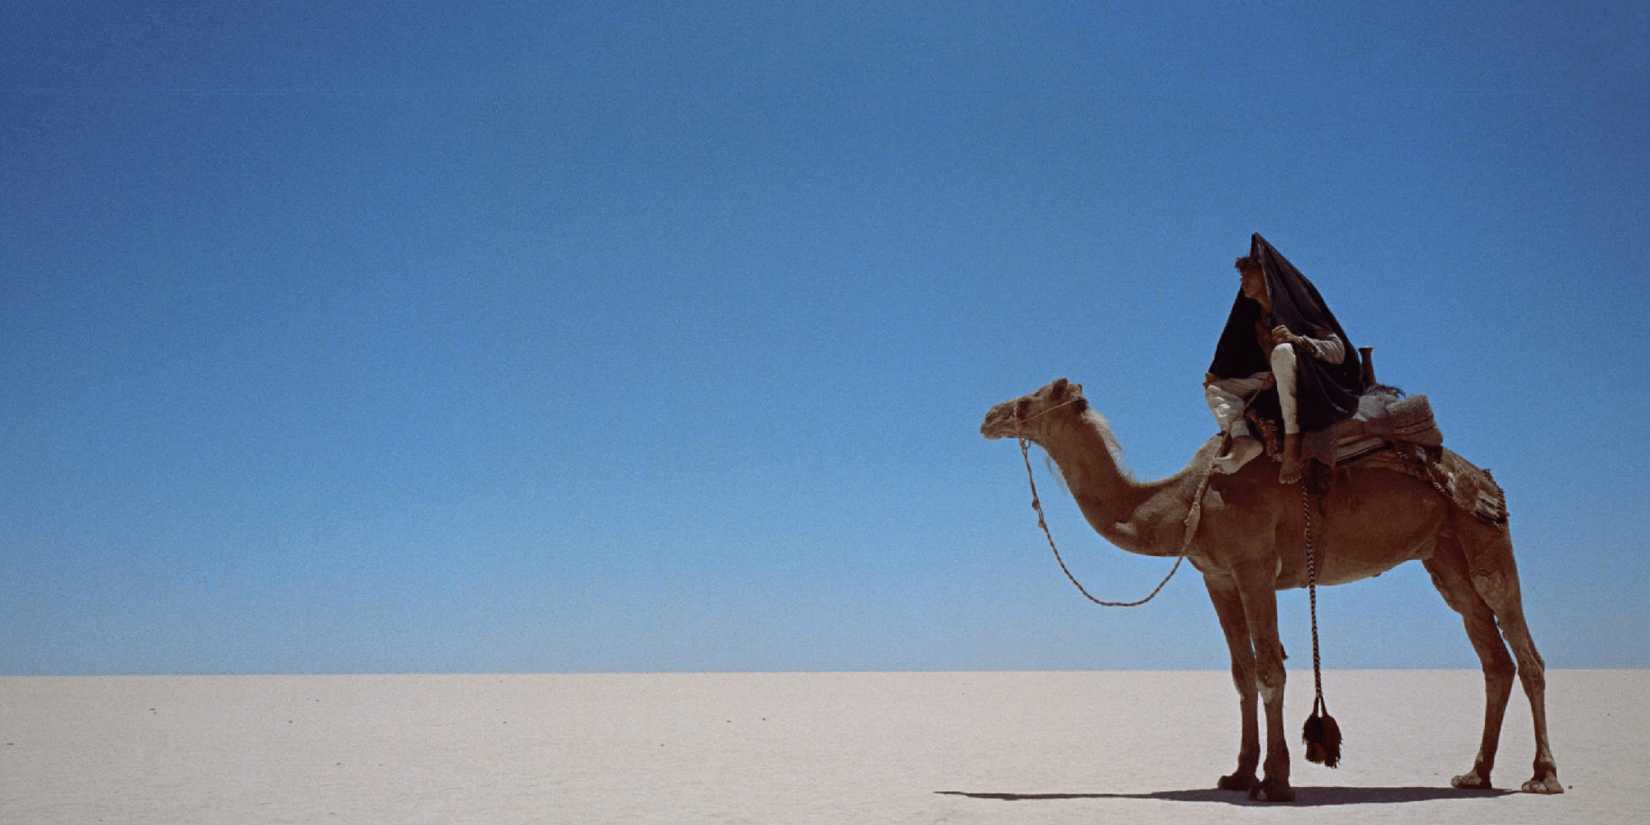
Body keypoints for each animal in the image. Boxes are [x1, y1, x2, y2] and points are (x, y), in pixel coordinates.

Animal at [979, 377, 1561, 802]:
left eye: (1029, 400)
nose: (988, 416)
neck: (1185, 501)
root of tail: (1484, 478)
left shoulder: (1254, 565)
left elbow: (1269, 670)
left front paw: (1276, 780)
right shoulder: (1217, 576)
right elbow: (1241, 673)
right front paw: (1238, 773)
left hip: (1486, 540)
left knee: (1527, 654)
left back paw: (1542, 776)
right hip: (1443, 558)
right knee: (1493, 659)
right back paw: (1475, 775)